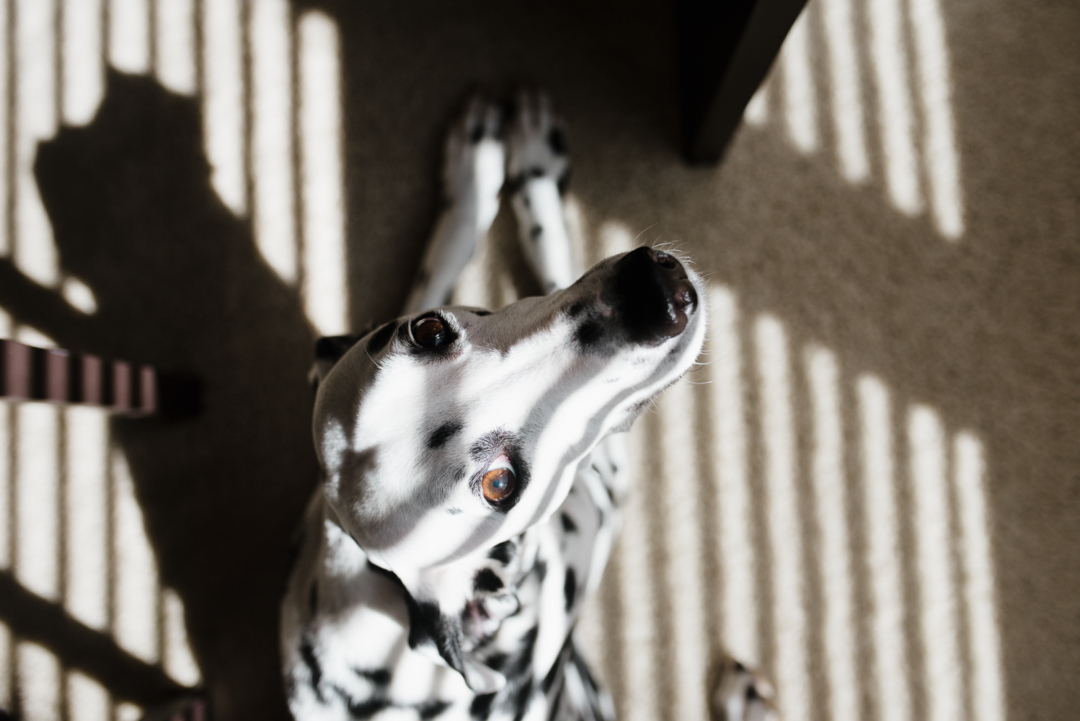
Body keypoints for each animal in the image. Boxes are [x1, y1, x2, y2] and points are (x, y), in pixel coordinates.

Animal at [278, 92, 773, 716]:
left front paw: (482, 169)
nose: (654, 296)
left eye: (430, 331)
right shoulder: (606, 478)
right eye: (500, 485)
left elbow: (437, 268)